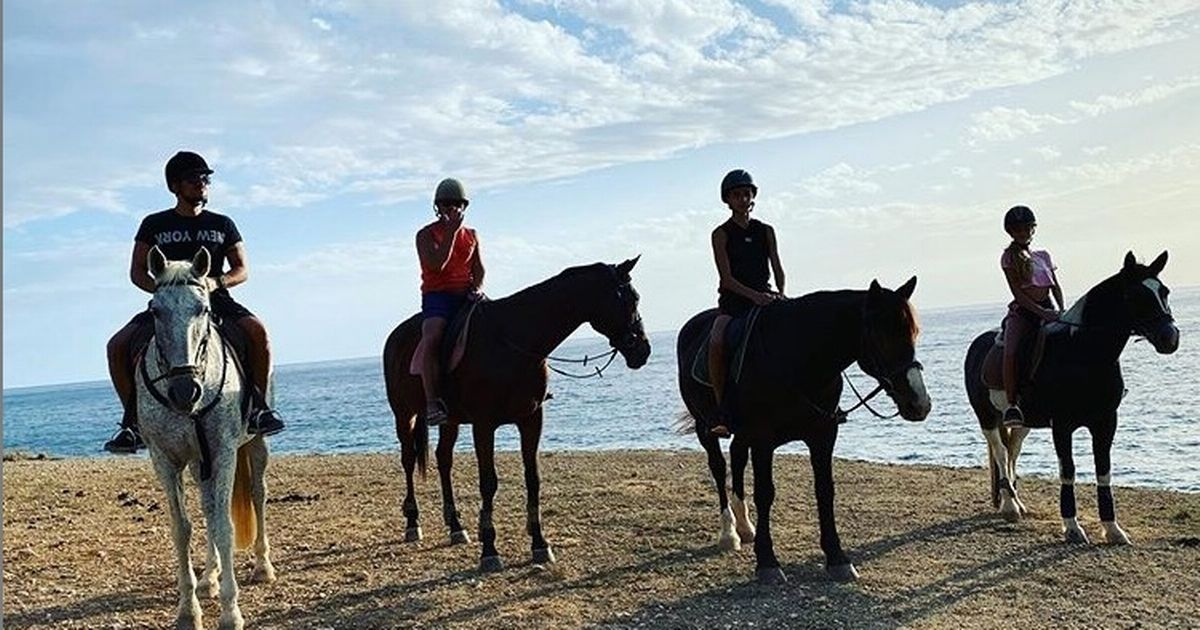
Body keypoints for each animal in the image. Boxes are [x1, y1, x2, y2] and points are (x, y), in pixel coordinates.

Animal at [136, 244, 274, 628]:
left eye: (204, 309)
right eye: (155, 311)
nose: (185, 391)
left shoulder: (224, 452)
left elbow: (224, 525)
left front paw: (230, 612)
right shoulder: (164, 459)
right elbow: (182, 529)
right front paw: (188, 609)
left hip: (255, 444)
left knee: (256, 495)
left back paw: (262, 567)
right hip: (200, 463)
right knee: (207, 507)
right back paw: (210, 578)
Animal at [384, 255, 652, 568]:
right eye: (630, 299)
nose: (643, 350)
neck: (512, 339)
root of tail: (396, 336)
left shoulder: (531, 419)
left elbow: (532, 479)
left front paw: (539, 542)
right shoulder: (484, 425)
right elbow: (488, 482)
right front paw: (489, 549)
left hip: (449, 421)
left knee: (443, 459)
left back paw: (456, 526)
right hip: (404, 415)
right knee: (408, 460)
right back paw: (412, 522)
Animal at [676, 277, 926, 583]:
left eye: (914, 332)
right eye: (882, 336)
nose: (919, 402)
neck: (798, 359)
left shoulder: (823, 435)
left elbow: (825, 490)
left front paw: (837, 557)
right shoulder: (763, 439)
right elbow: (765, 493)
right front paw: (767, 562)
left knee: (737, 457)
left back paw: (745, 526)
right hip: (707, 427)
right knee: (719, 466)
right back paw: (729, 533)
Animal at [964, 250, 1180, 540]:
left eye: (1164, 291)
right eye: (1135, 295)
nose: (1170, 337)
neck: (1081, 353)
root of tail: (978, 345)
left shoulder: (1105, 422)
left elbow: (1104, 470)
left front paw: (1113, 529)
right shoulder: (1062, 425)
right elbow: (1067, 470)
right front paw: (1072, 527)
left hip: (1022, 423)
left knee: (1011, 452)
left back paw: (1017, 502)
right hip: (987, 417)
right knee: (999, 452)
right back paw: (1009, 506)